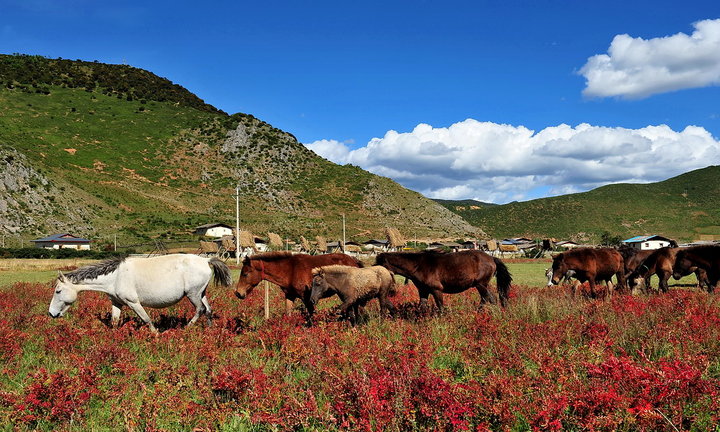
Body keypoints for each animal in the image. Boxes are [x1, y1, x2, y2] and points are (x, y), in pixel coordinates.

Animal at [47, 253, 232, 330]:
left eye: (58, 291)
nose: (51, 313)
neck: (115, 276)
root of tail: (206, 260)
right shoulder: (117, 303)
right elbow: (115, 321)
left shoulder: (133, 303)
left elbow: (146, 319)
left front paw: (156, 335)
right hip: (201, 293)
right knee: (208, 310)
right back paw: (209, 331)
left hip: (193, 294)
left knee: (200, 309)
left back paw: (187, 328)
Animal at [372, 250, 512, 310]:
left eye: (380, 265)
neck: (418, 266)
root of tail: (492, 258)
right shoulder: (423, 291)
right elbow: (422, 307)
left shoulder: (436, 290)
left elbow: (441, 307)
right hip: (482, 285)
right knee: (488, 299)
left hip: (481, 284)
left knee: (489, 299)